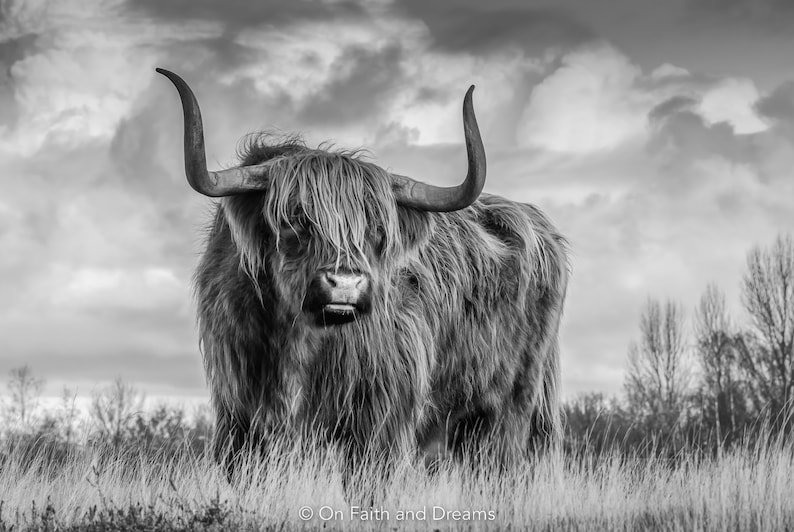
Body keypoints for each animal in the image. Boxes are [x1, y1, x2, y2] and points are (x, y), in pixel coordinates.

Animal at [156, 68, 569, 480]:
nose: (346, 284)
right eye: (294, 220)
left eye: (378, 230)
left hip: (510, 408)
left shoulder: (381, 416)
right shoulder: (239, 414)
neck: (299, 342)